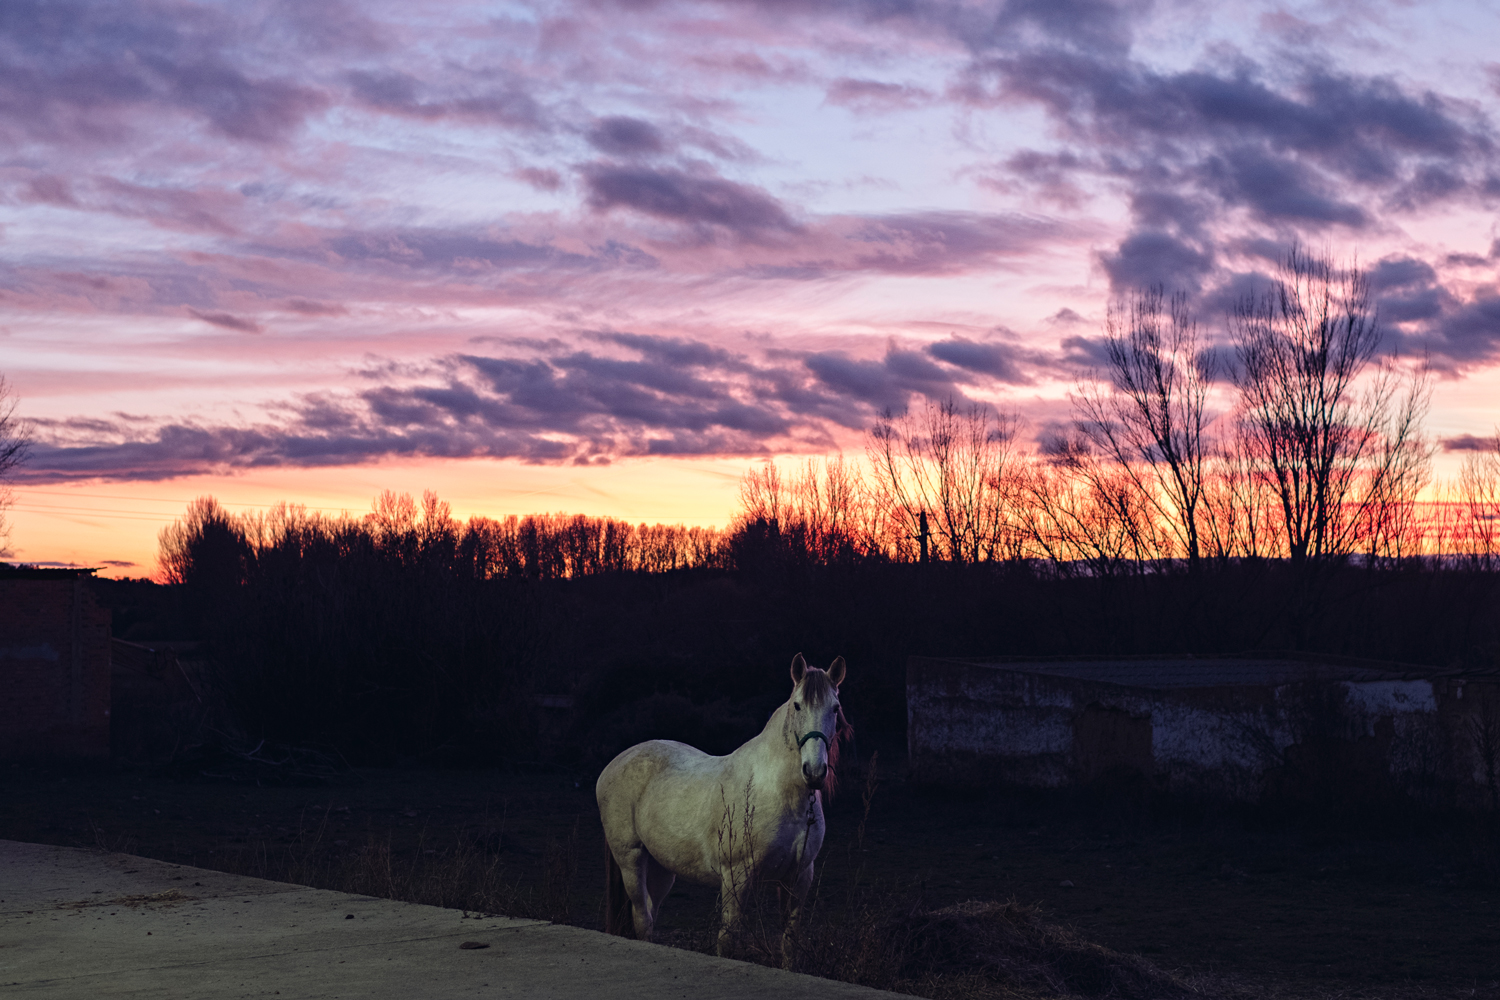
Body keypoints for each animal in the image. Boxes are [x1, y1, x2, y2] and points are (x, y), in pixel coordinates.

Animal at [600, 650, 858, 959]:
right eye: (797, 706)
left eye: (835, 708)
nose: (815, 771)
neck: (781, 795)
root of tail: (614, 764)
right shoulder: (737, 877)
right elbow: (728, 939)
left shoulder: (799, 878)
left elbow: (789, 943)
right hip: (631, 859)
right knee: (642, 919)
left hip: (661, 868)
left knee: (650, 912)